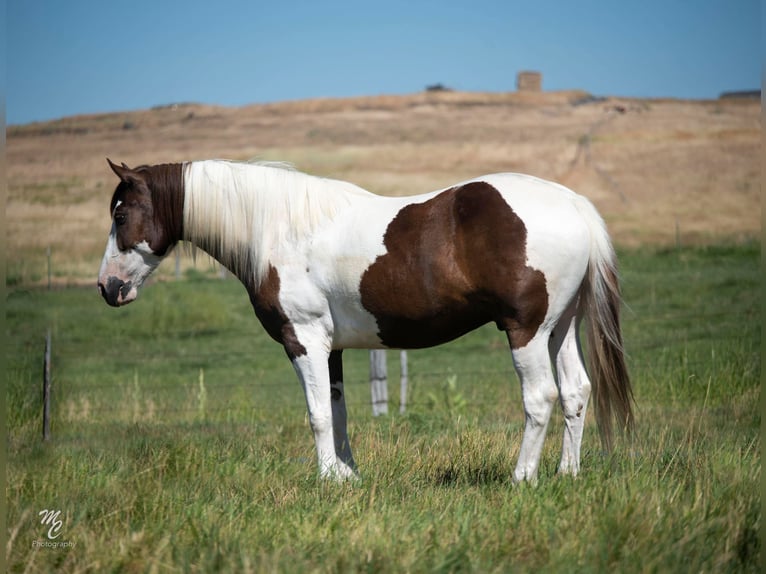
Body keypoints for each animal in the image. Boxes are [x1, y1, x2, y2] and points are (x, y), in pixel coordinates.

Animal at [97, 156, 636, 482]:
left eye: (121, 216)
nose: (107, 287)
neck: (280, 228)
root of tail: (573, 203)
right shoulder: (329, 346)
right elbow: (337, 411)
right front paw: (346, 477)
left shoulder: (303, 339)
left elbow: (316, 414)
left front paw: (325, 481)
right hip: (559, 328)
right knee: (576, 392)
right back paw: (567, 474)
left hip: (526, 330)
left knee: (541, 397)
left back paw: (521, 478)